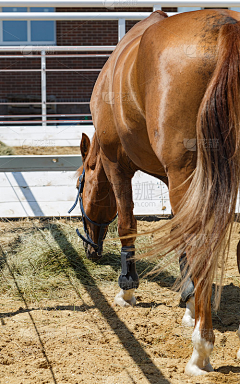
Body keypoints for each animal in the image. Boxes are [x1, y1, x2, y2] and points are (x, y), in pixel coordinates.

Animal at [71, 8, 240, 376]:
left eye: (80, 186)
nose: (91, 250)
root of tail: (226, 28)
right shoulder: (172, 178)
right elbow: (181, 239)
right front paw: (187, 301)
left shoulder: (117, 164)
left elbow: (127, 224)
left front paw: (127, 288)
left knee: (202, 247)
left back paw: (201, 349)